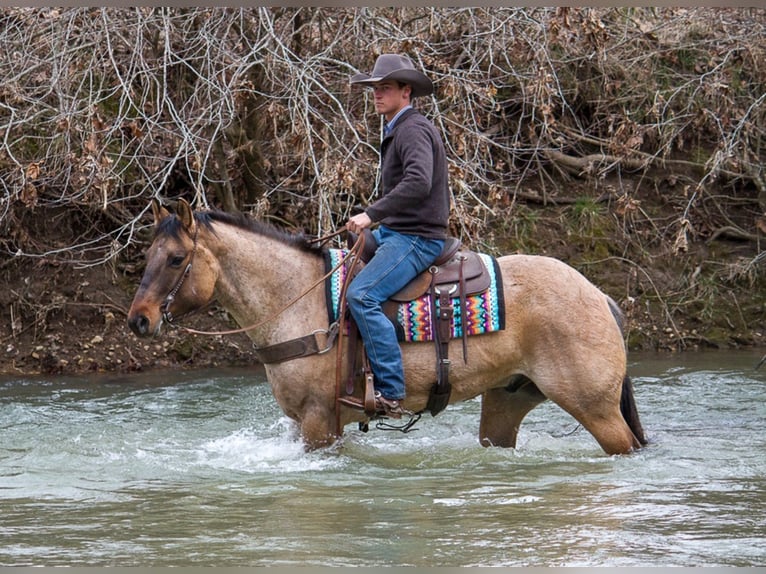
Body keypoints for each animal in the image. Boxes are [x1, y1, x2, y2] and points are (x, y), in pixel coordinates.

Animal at [127, 200, 648, 456]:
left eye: (176, 258)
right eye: (147, 255)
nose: (139, 319)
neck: (295, 299)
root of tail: (598, 296)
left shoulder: (319, 421)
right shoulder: (306, 423)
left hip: (595, 408)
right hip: (507, 401)